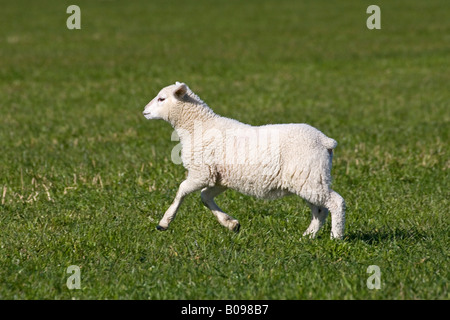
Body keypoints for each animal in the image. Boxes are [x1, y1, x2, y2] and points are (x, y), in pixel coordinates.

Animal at [142, 81, 346, 239]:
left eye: (161, 99)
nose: (144, 111)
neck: (198, 126)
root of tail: (325, 141)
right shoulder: (219, 177)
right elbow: (205, 197)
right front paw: (231, 224)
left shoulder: (201, 172)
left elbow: (182, 190)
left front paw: (164, 223)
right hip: (308, 178)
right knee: (320, 210)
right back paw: (308, 236)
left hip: (310, 177)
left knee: (336, 203)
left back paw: (336, 237)